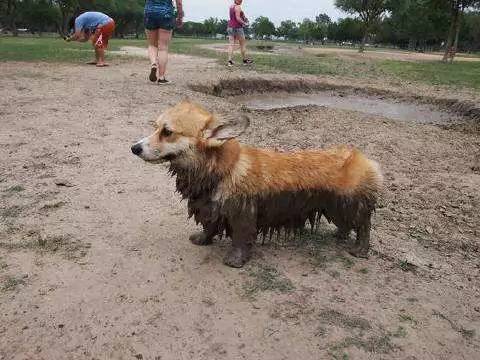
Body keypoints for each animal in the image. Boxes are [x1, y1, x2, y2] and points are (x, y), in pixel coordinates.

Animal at [131, 100, 382, 268]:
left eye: (167, 132)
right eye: (155, 127)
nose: (134, 148)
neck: (219, 169)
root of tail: (366, 160)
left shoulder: (243, 214)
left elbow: (241, 238)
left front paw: (235, 261)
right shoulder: (210, 208)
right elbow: (209, 227)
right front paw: (202, 240)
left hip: (350, 204)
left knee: (364, 225)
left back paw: (360, 250)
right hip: (335, 206)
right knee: (346, 224)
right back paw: (339, 236)